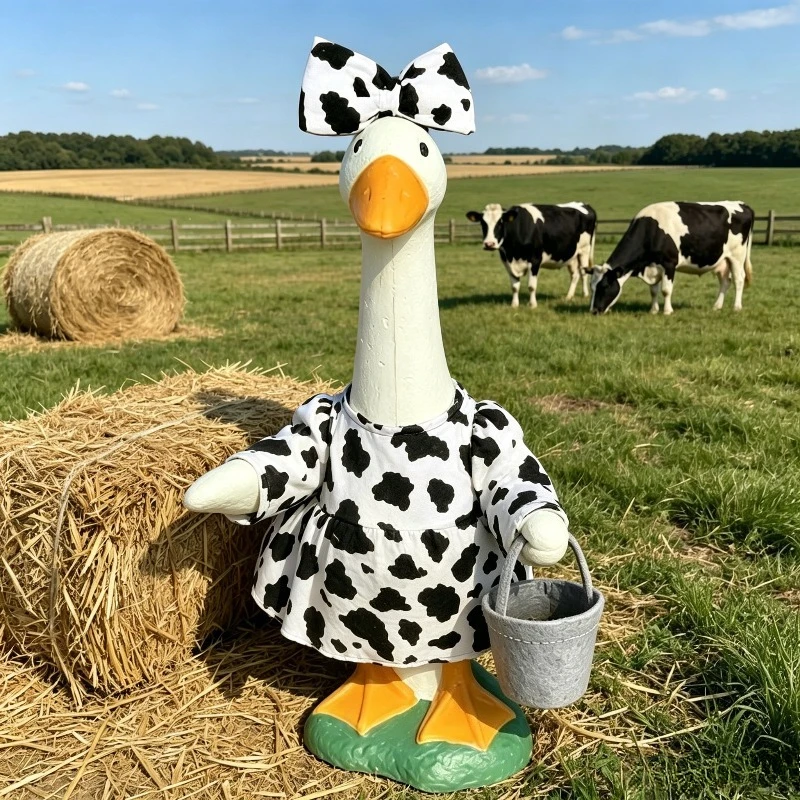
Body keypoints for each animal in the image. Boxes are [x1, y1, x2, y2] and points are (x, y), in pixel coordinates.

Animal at [466, 202, 597, 308]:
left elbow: (531, 286)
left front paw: (533, 305)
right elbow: (514, 286)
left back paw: (585, 294)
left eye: (500, 222)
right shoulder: (507, 262)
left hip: (584, 250)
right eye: (483, 223)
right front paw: (514, 305)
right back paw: (569, 296)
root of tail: (585, 204)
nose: (489, 244)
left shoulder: (535, 260)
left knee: (583, 273)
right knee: (575, 275)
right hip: (571, 255)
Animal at [589, 201, 754, 315]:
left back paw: (736, 307)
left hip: (737, 256)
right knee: (725, 281)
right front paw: (653, 310)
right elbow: (653, 290)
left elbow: (666, 290)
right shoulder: (653, 266)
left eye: (604, 286)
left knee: (739, 280)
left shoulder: (669, 263)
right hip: (723, 260)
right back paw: (717, 306)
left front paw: (667, 311)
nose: (594, 311)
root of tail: (742, 204)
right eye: (591, 287)